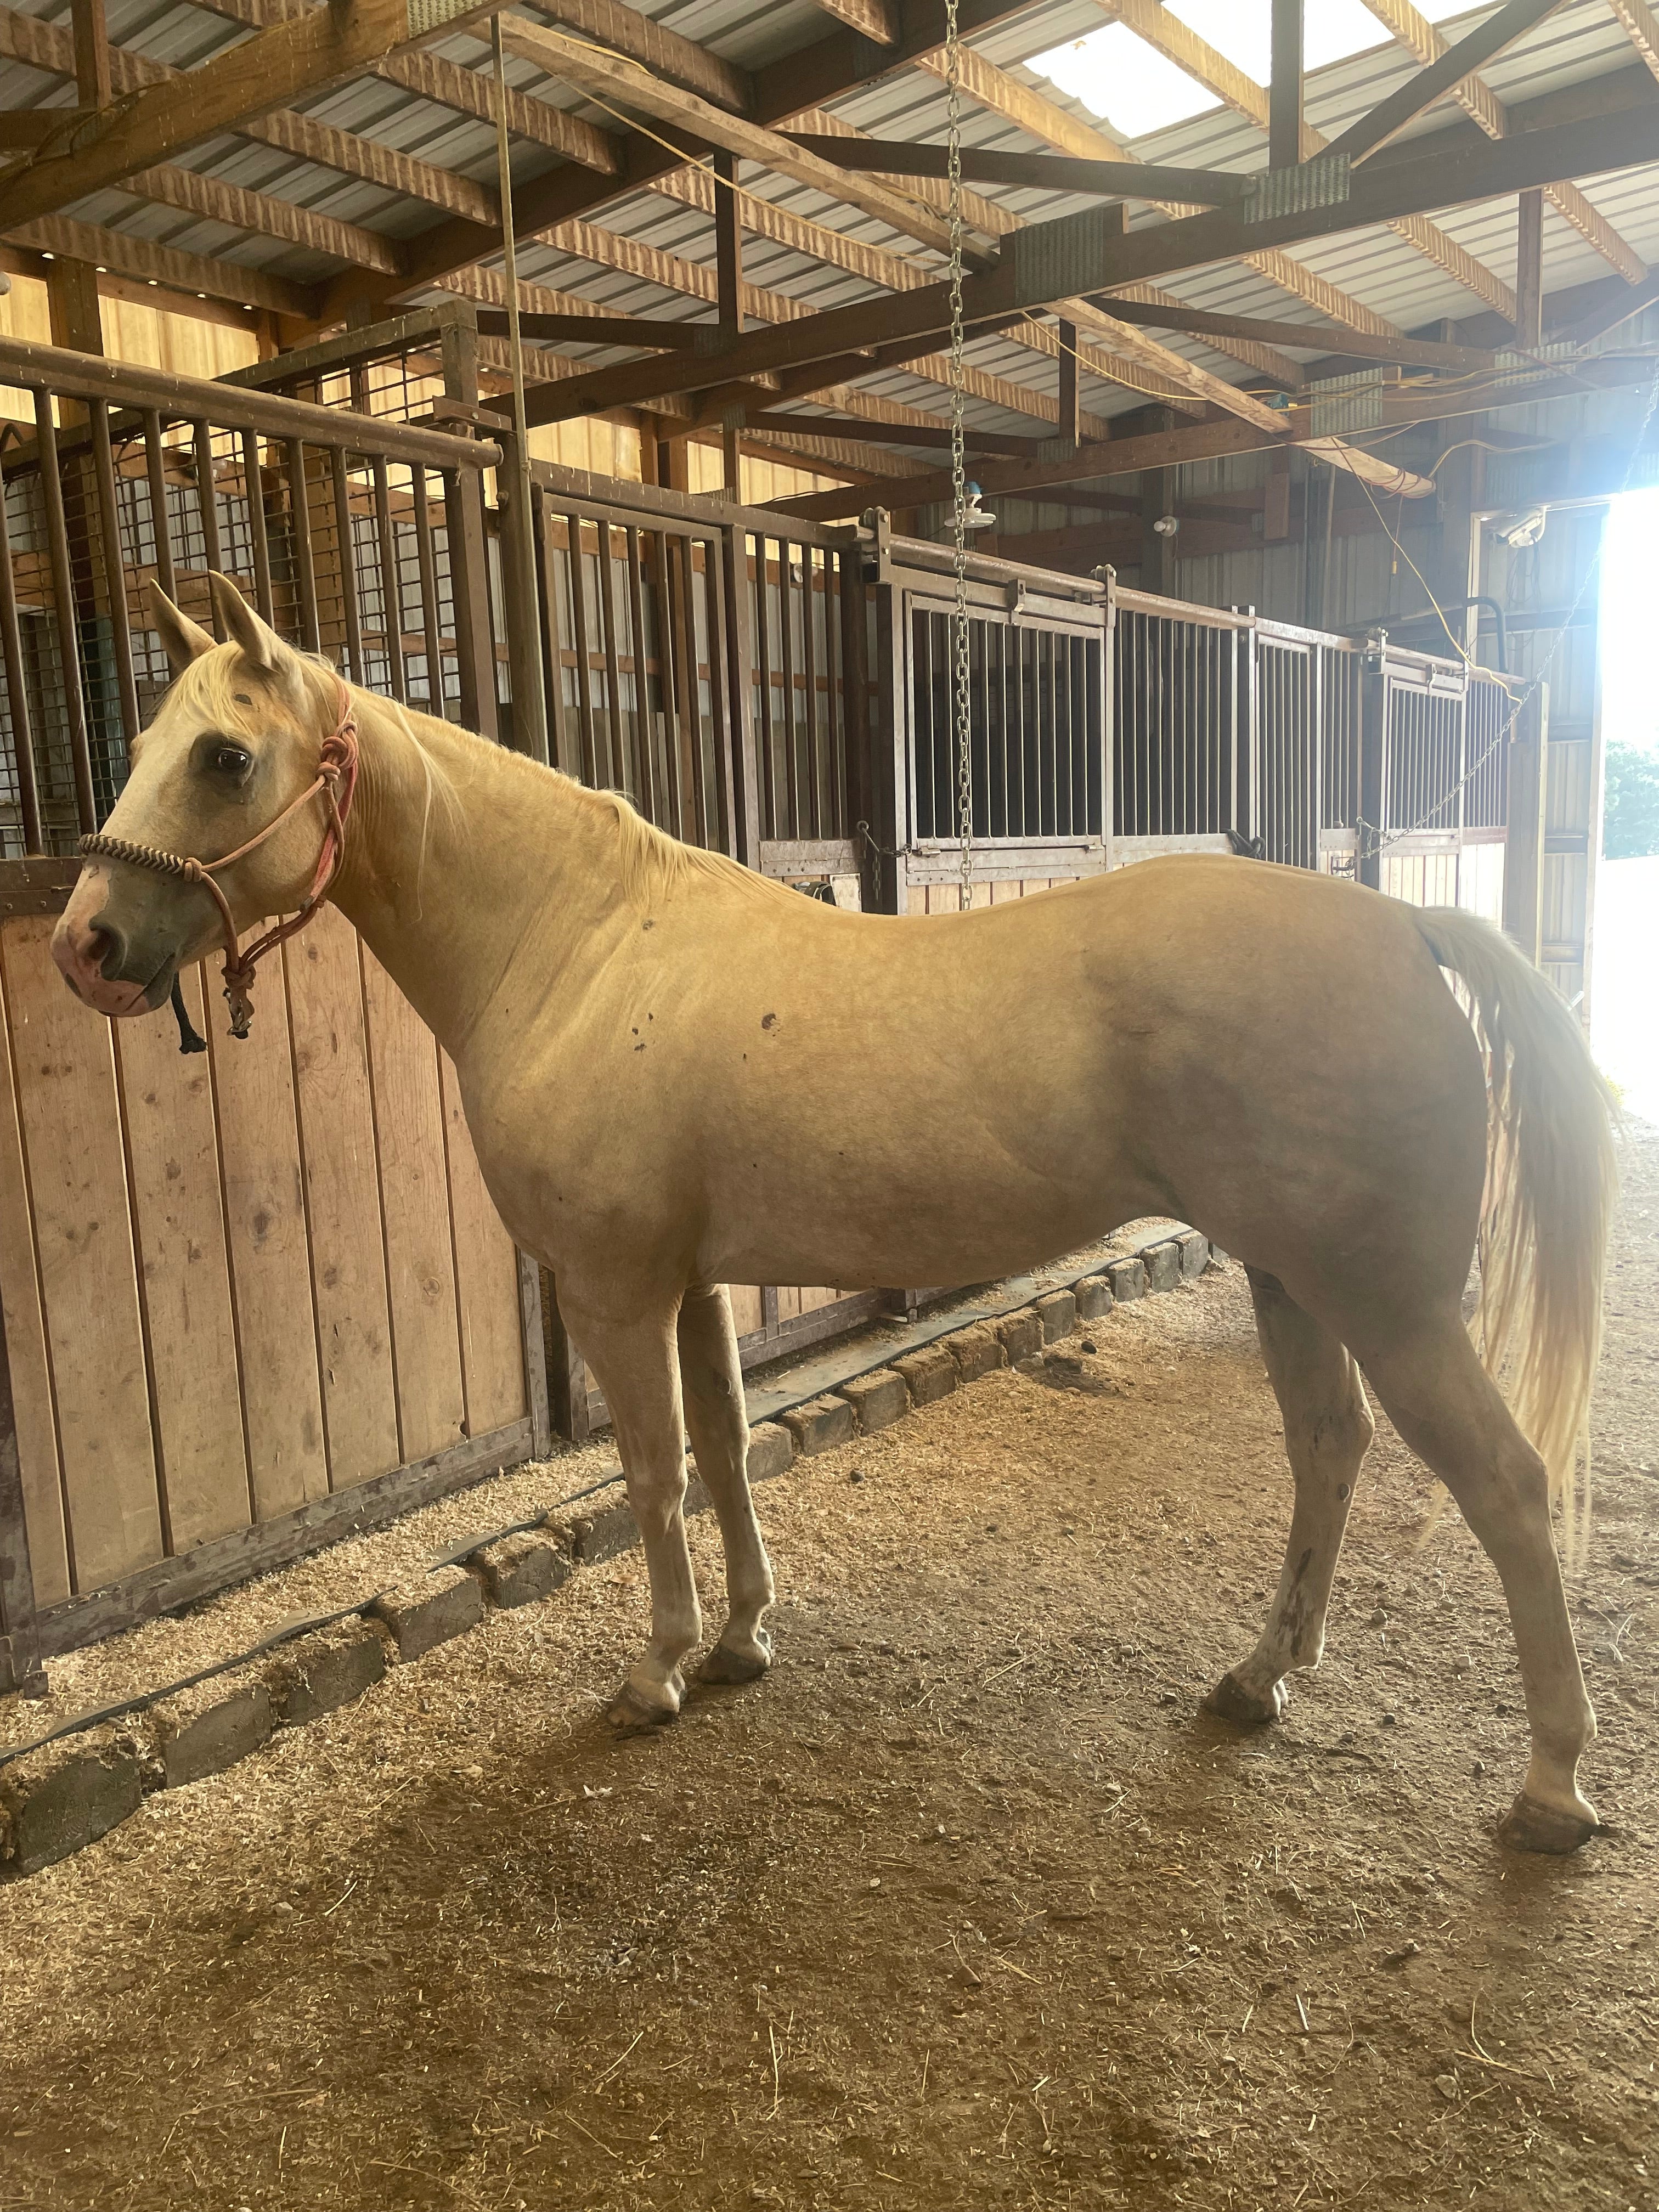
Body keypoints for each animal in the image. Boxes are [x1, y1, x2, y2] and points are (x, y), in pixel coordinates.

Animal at [51, 574, 1617, 1855]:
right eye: (141, 745)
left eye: (224, 756)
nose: (85, 946)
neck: (579, 951)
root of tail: (1403, 924)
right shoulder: (693, 1284)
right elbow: (730, 1451)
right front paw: (744, 1641)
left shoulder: (616, 1290)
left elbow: (651, 1474)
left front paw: (656, 1671)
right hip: (1295, 1281)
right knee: (1328, 1452)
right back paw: (1257, 1680)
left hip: (1389, 1303)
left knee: (1506, 1485)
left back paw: (1552, 1790)